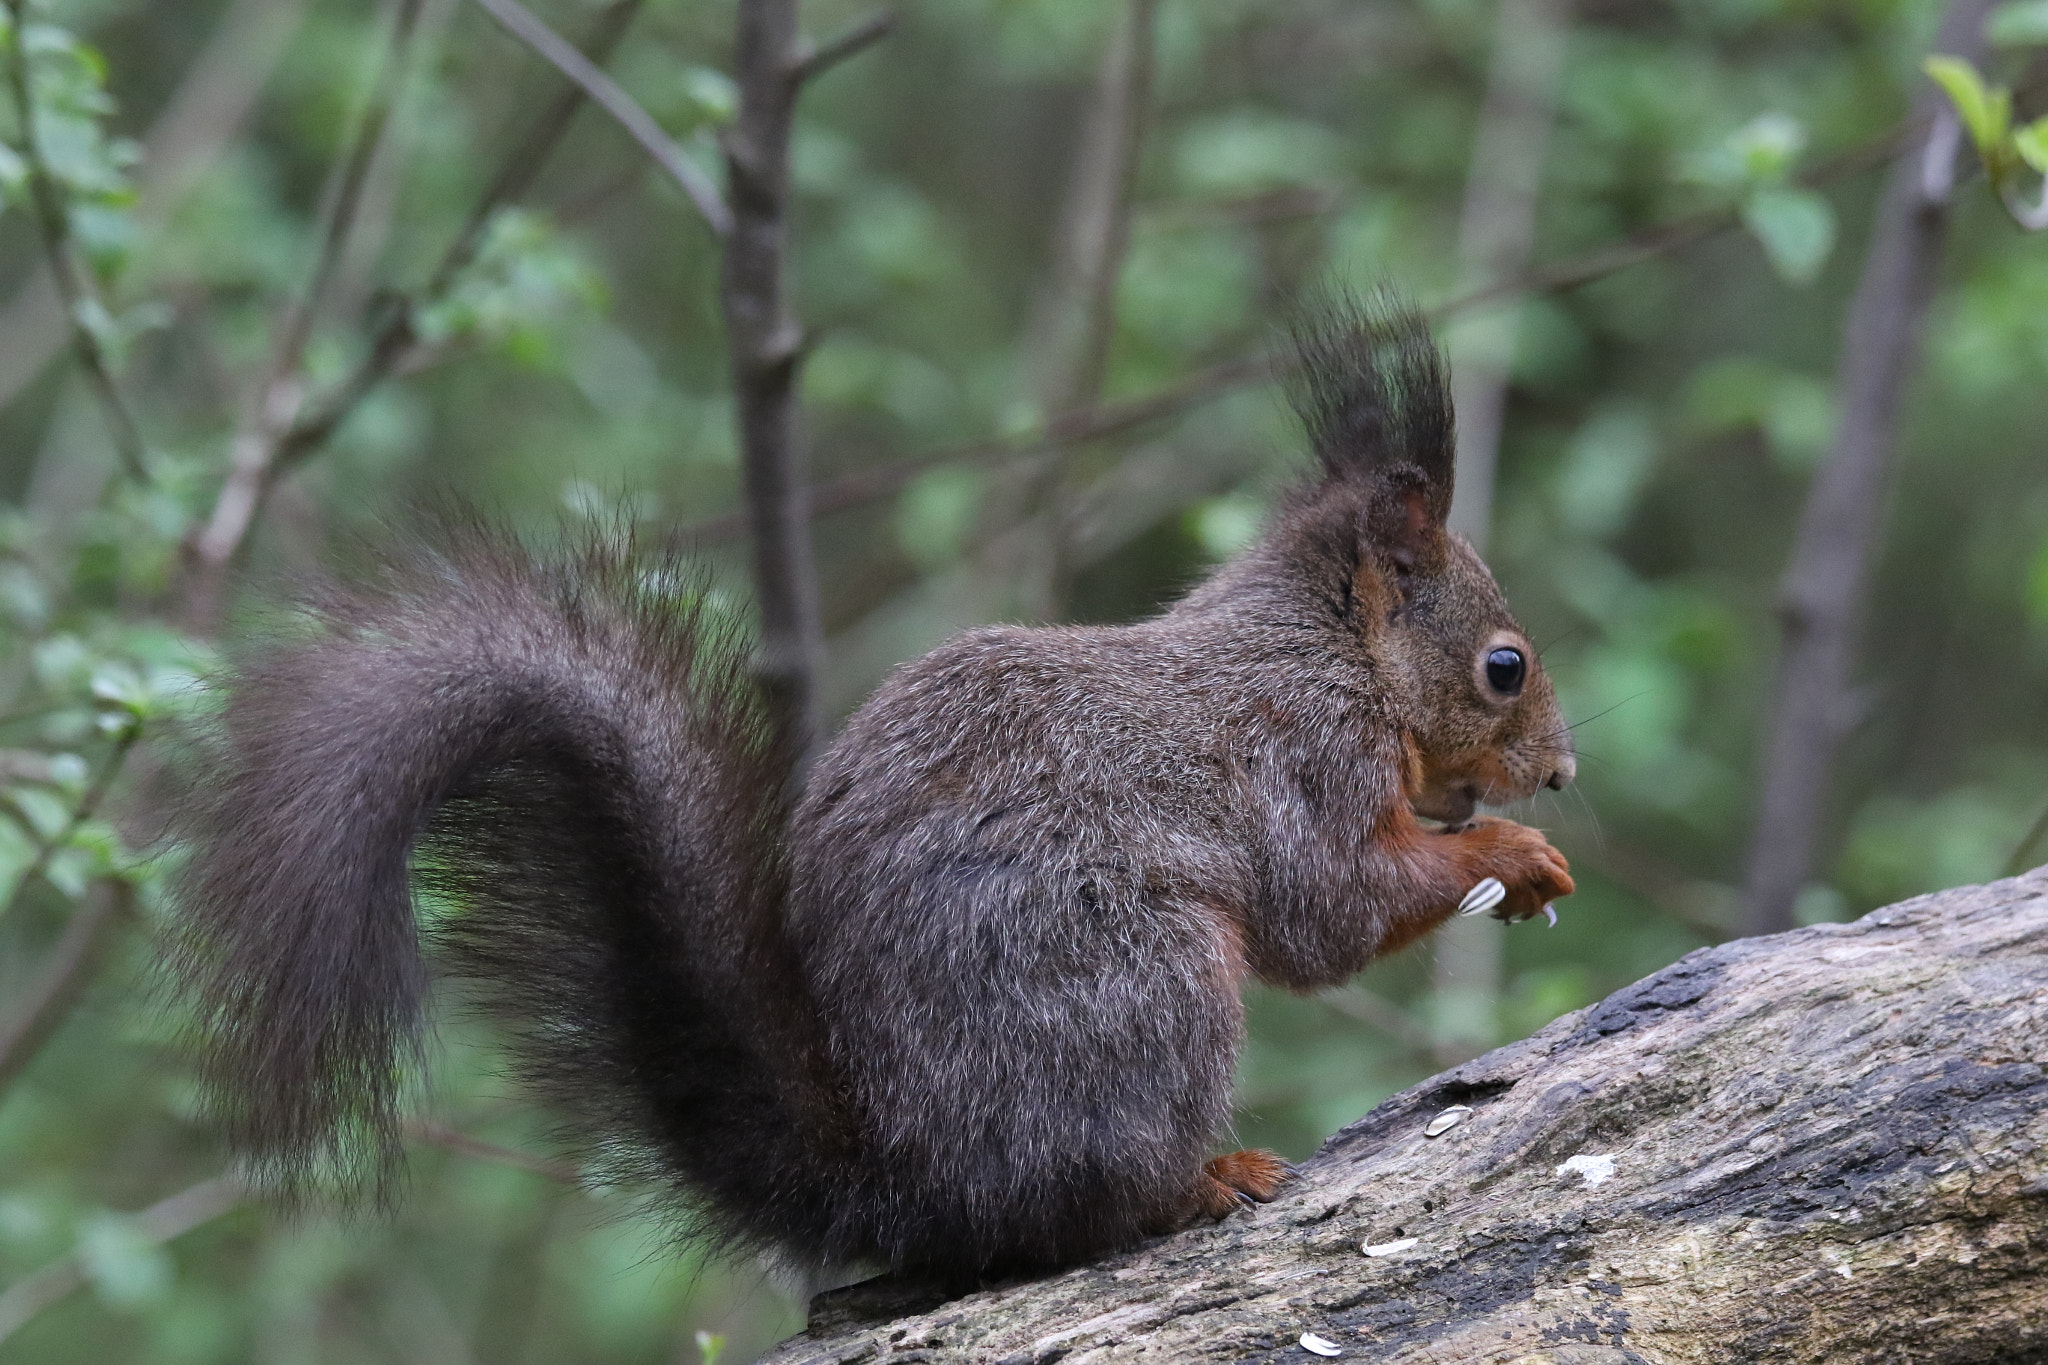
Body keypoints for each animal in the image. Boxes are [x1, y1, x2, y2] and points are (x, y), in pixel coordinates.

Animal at [167, 295, 1574, 1285]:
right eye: (1502, 667)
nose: (1560, 770)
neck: (1329, 647)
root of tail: (921, 1183)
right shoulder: (1300, 752)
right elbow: (1326, 908)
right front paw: (1512, 855)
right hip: (1142, 981)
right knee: (1089, 1205)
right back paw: (1199, 1179)